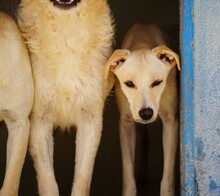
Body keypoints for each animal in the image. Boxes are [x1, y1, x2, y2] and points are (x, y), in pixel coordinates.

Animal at [104, 24, 180, 196]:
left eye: (157, 82)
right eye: (129, 84)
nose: (146, 114)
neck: (142, 44)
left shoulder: (171, 122)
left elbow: (167, 177)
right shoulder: (126, 123)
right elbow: (128, 175)